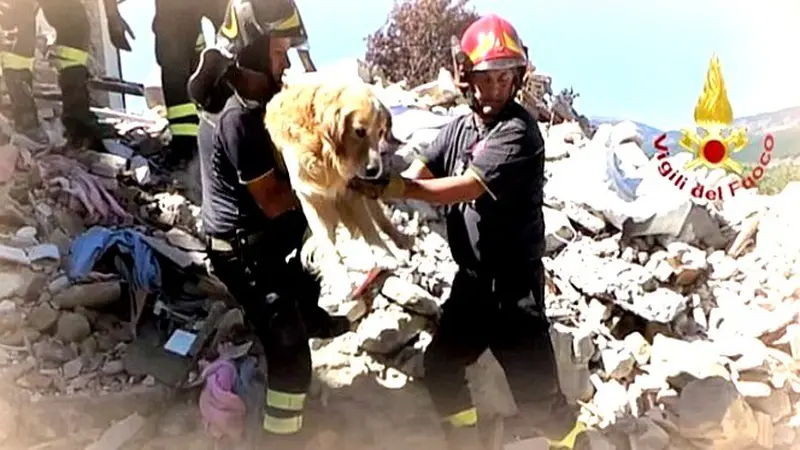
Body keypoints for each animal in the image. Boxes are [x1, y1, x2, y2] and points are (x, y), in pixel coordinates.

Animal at [189, 0, 348, 444]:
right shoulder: (243, 133)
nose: (289, 64)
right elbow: (275, 195)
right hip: (251, 276)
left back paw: (320, 317)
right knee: (287, 341)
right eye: (279, 50)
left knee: (300, 274)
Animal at [266, 80, 412, 282]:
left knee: (380, 219)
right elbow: (327, 244)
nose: (375, 171)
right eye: (360, 131)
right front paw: (339, 279)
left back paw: (399, 240)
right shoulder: (310, 197)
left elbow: (368, 226)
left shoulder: (351, 189)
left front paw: (385, 256)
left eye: (380, 133)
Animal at [350, 14, 588, 450]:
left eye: (503, 78)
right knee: (443, 368)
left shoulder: (516, 139)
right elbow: (428, 170)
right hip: (470, 315)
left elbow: (468, 182)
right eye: (487, 78)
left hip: (520, 318)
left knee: (543, 400)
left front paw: (385, 185)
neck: (487, 120)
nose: (499, 88)